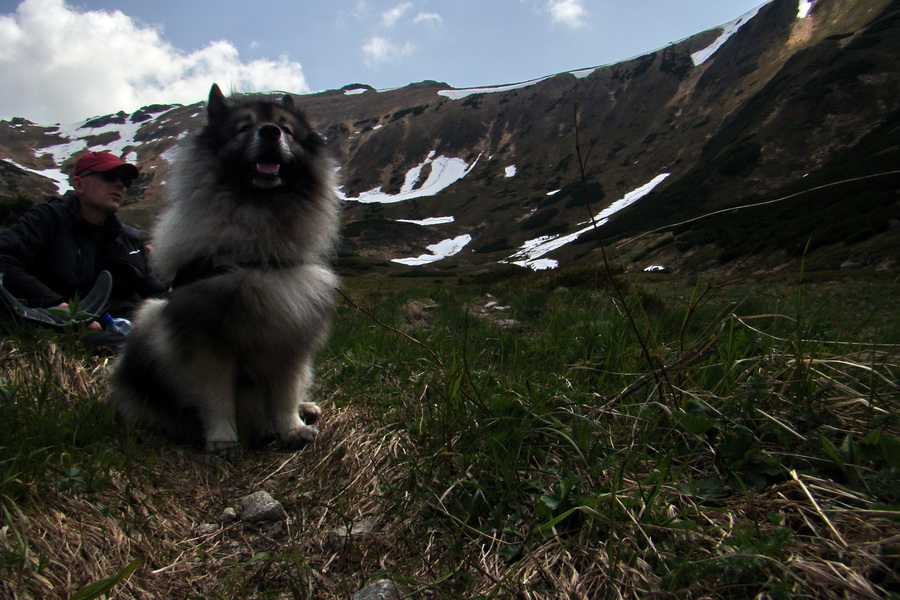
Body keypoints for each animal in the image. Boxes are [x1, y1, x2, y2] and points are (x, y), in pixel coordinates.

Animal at [109, 82, 340, 452]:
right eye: (244, 127)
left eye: (286, 129)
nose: (270, 131)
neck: (256, 252)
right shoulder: (208, 340)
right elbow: (216, 396)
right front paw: (222, 438)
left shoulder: (291, 333)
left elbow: (285, 393)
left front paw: (292, 428)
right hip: (149, 317)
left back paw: (306, 408)